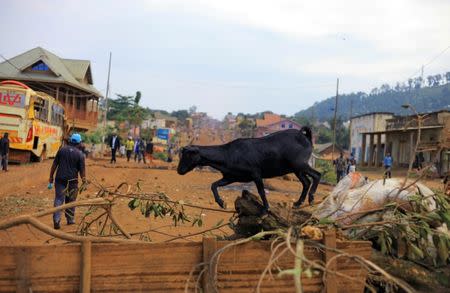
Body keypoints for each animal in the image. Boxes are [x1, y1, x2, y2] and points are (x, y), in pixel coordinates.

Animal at [176, 126, 320, 211]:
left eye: (187, 155)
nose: (179, 170)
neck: (228, 154)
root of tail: (305, 136)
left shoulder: (256, 174)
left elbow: (261, 191)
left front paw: (266, 208)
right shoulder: (231, 177)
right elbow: (214, 185)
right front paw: (221, 203)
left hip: (300, 164)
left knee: (317, 175)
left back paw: (311, 197)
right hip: (296, 169)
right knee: (306, 182)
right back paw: (298, 203)